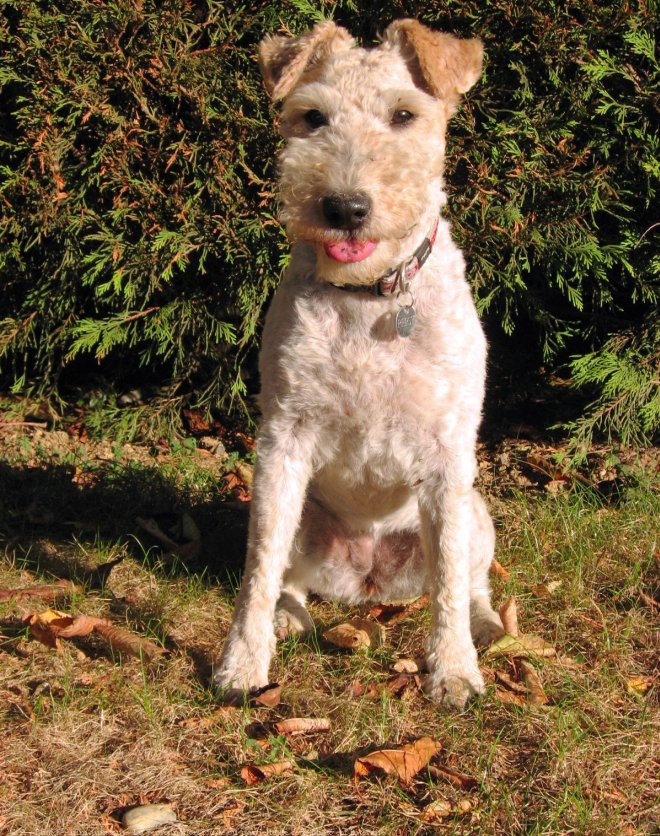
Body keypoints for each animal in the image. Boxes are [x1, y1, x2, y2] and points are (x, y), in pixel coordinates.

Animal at [214, 18, 502, 704]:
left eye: (404, 114)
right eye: (311, 117)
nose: (344, 207)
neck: (371, 295)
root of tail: (369, 583)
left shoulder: (448, 450)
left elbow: (450, 580)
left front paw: (453, 671)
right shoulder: (283, 439)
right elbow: (259, 567)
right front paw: (242, 663)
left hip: (476, 511)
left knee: (467, 580)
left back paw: (484, 626)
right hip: (299, 511)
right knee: (287, 572)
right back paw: (289, 616)